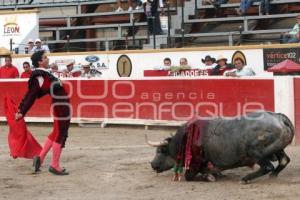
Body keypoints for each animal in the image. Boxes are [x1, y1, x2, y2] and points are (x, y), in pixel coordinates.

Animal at [149, 111, 294, 183]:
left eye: (160, 151)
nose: (152, 164)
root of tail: (278, 117)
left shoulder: (196, 164)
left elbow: (189, 176)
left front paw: (209, 177)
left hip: (255, 152)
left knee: (267, 166)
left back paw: (245, 179)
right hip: (278, 149)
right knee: (284, 160)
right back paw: (273, 176)